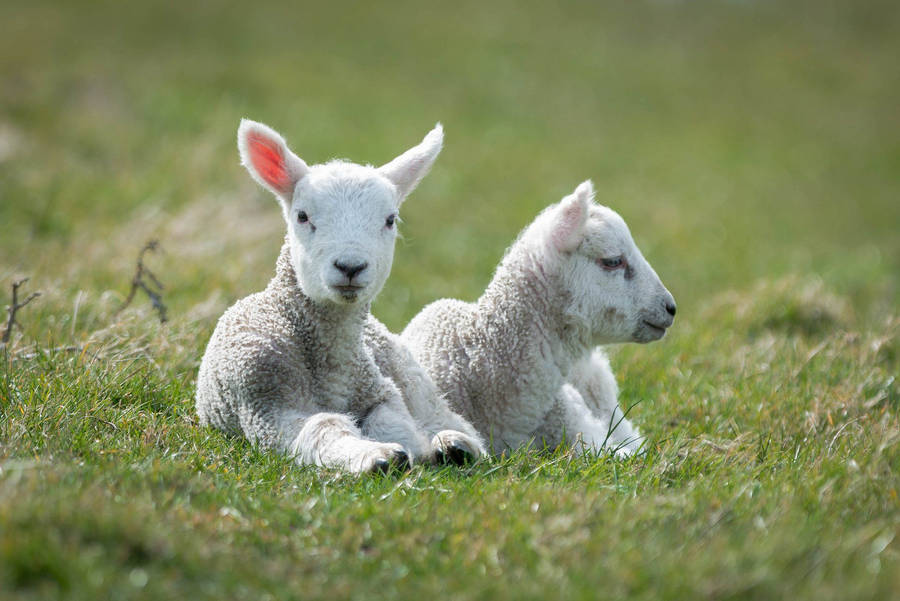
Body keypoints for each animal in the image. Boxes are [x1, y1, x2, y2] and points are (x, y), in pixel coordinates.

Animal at [196, 119, 483, 474]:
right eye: (302, 216)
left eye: (390, 220)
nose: (350, 266)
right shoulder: (266, 404)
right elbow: (324, 425)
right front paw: (376, 456)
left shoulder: (380, 389)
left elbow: (392, 421)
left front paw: (414, 450)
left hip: (409, 374)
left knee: (443, 415)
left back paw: (457, 443)